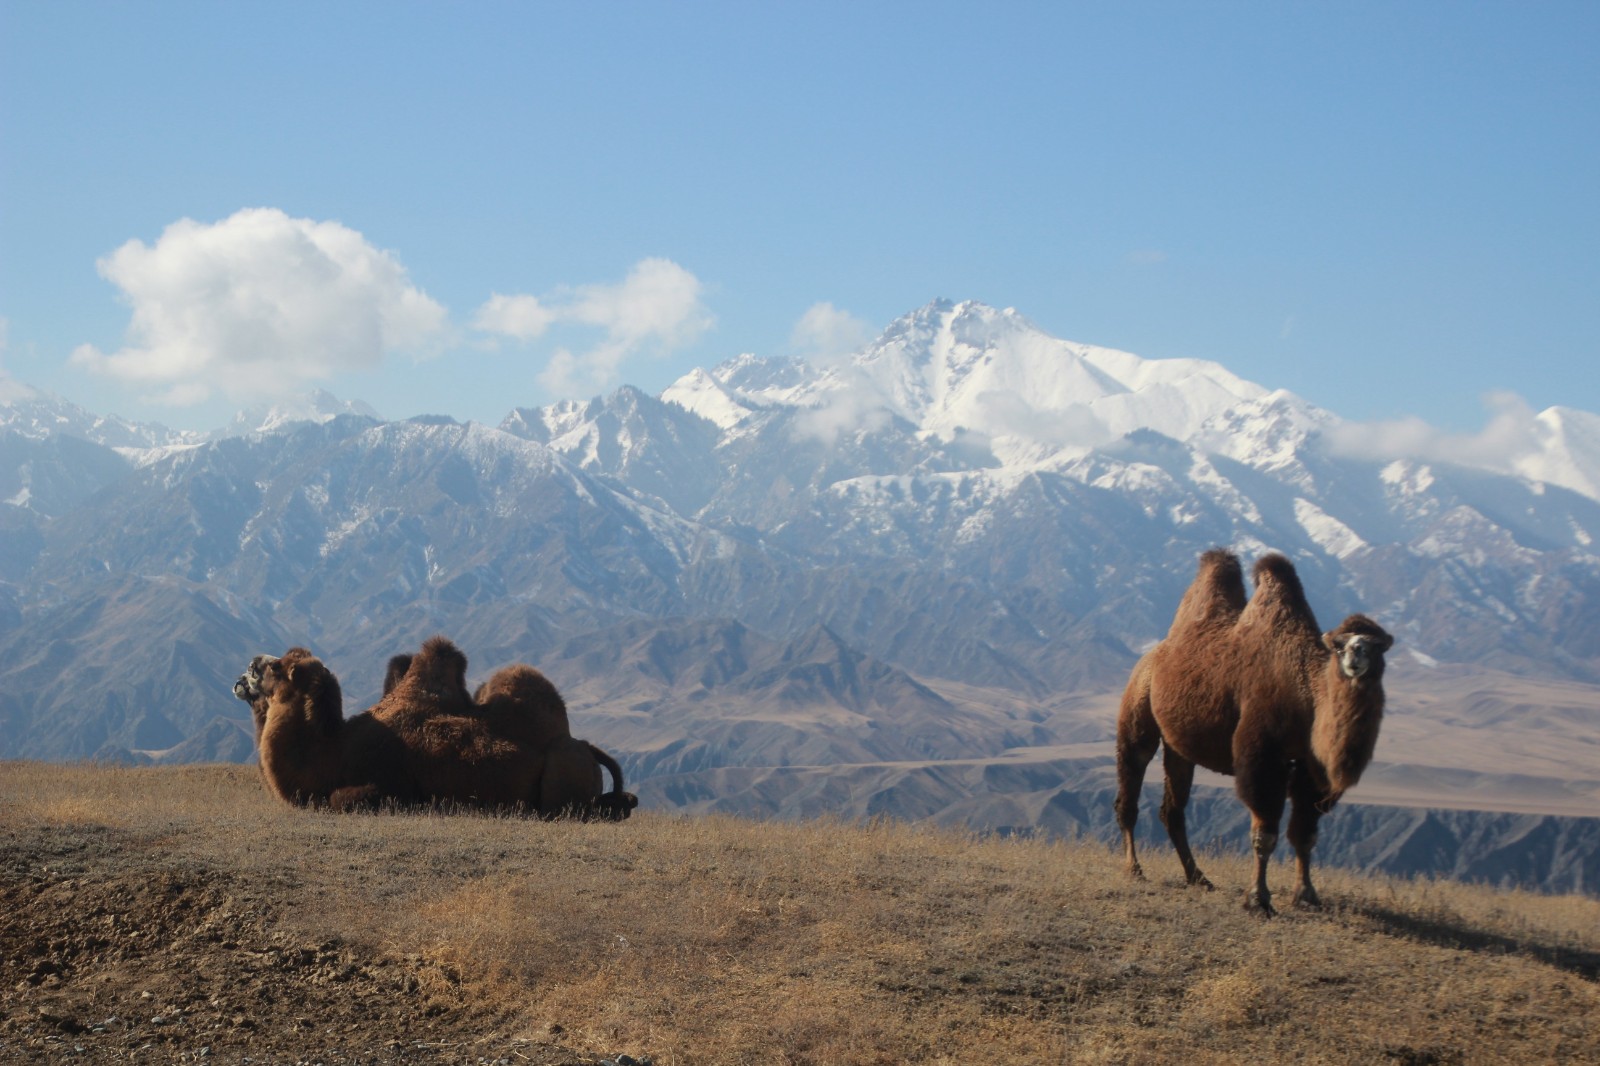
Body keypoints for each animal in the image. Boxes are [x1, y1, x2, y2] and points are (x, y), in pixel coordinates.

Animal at [1120, 547, 1395, 915]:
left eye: (1377, 646)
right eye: (1339, 645)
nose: (1355, 656)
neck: (1306, 693)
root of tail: (1151, 656)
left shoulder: (1310, 768)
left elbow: (1305, 835)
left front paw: (1307, 895)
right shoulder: (1261, 756)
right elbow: (1264, 834)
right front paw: (1258, 899)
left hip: (1178, 746)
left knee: (1172, 810)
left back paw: (1198, 877)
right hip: (1138, 707)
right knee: (1131, 788)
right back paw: (1134, 869)